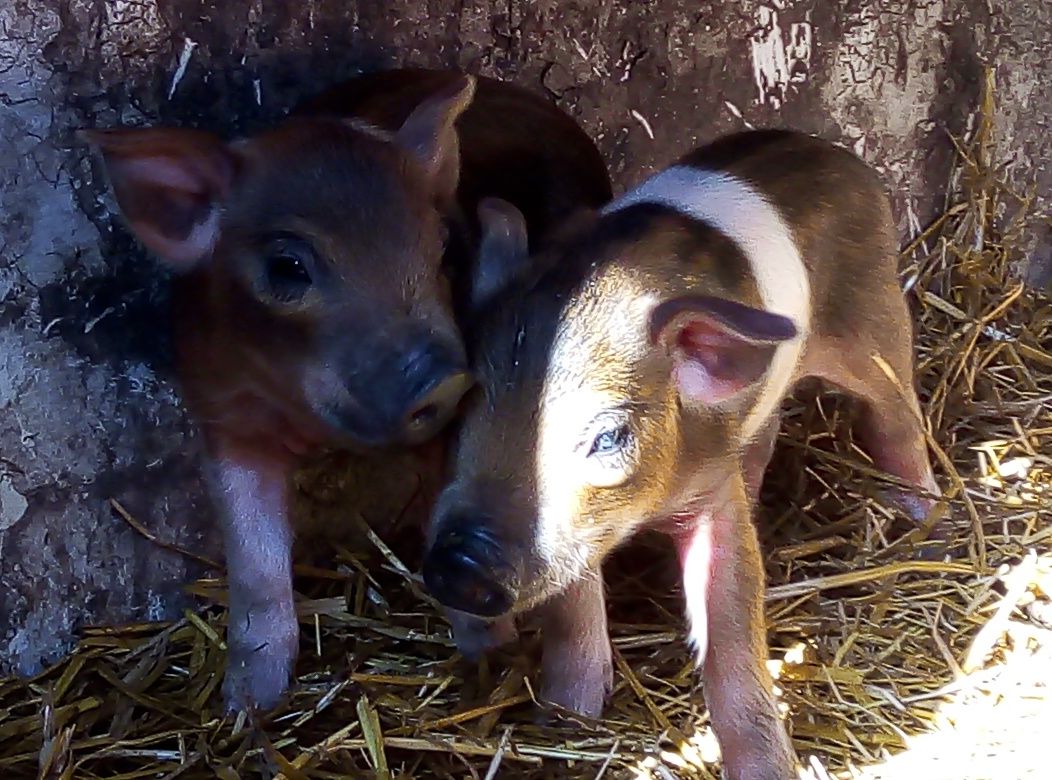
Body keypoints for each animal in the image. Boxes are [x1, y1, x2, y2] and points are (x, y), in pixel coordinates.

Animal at [86, 68, 614, 711]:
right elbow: (255, 563)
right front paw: (246, 705)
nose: (448, 378)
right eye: (287, 267)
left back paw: (576, 710)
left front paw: (492, 653)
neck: (311, 420)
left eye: (444, 246)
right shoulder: (224, 418)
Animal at [420, 131, 946, 774]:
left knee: (899, 413)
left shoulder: (711, 491)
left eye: (608, 437)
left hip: (875, 318)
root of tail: (832, 152)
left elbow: (730, 624)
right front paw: (566, 718)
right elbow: (572, 610)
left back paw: (929, 521)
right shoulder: (576, 531)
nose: (460, 563)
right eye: (467, 410)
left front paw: (769, 770)